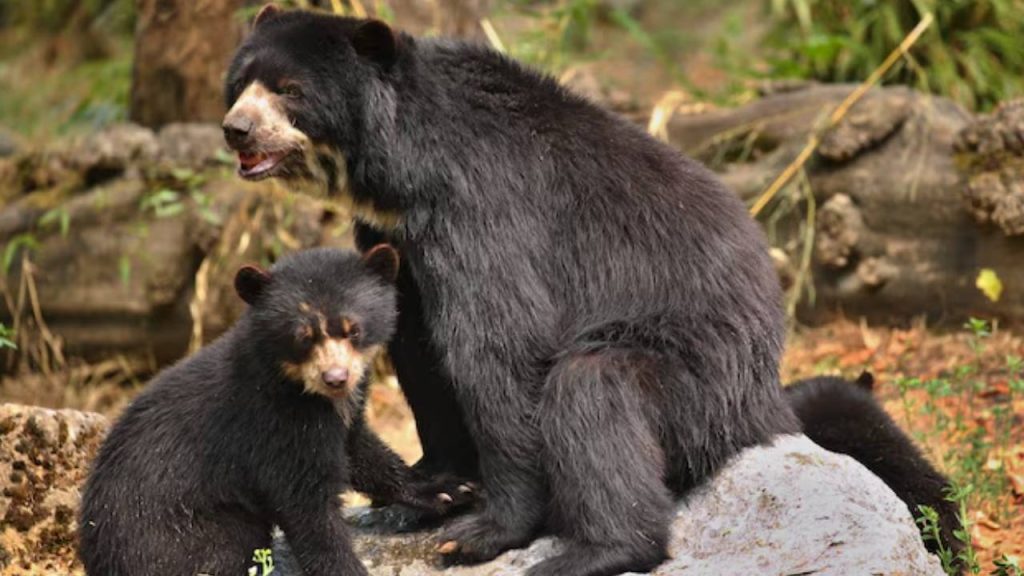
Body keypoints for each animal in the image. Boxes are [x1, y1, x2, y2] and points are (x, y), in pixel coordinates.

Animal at [79, 247, 468, 573]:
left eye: (353, 329)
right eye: (303, 336)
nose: (336, 378)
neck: (306, 393)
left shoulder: (340, 416)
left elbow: (363, 452)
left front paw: (447, 490)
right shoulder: (273, 424)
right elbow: (309, 510)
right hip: (185, 532)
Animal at [222, 6, 798, 569]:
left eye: (290, 90)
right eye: (240, 83)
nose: (236, 130)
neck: (402, 173)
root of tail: (769, 399)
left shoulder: (483, 209)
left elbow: (498, 346)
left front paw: (481, 532)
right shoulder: (394, 235)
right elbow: (418, 349)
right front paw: (436, 488)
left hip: (698, 375)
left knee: (593, 391)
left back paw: (595, 551)